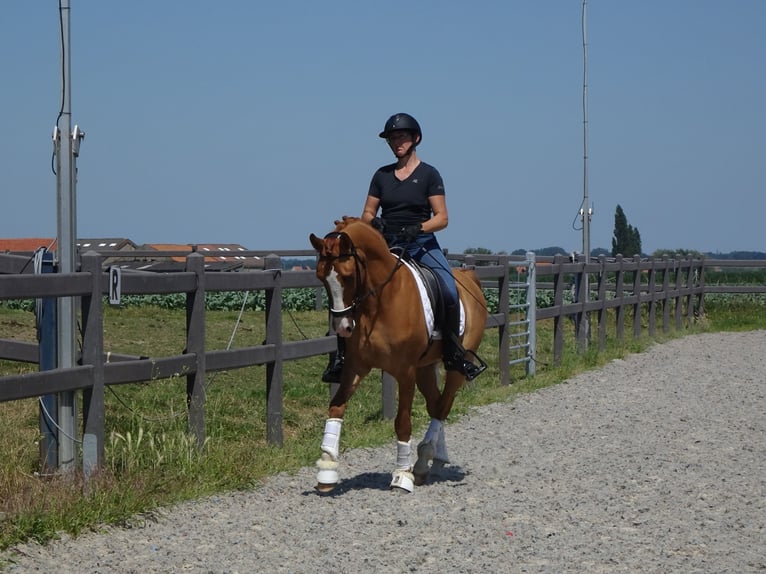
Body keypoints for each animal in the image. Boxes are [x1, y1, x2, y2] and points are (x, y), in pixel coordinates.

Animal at [308, 216, 488, 496]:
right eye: (321, 278)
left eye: (347, 276)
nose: (343, 327)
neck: (379, 302)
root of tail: (469, 278)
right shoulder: (356, 367)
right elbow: (336, 407)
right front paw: (327, 470)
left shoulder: (405, 372)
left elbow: (402, 422)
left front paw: (402, 475)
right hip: (425, 367)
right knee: (436, 404)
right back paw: (435, 458)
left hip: (456, 366)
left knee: (443, 406)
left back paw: (423, 461)